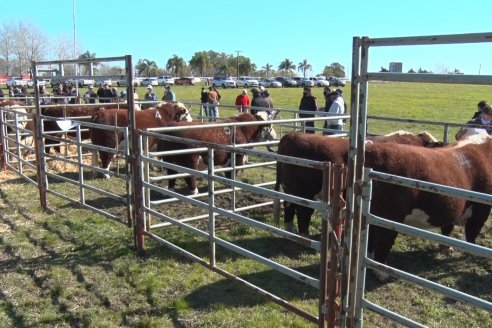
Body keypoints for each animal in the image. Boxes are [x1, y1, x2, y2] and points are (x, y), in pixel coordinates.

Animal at [364, 134, 492, 280]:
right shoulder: (481, 210)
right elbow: (471, 234)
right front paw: (473, 253)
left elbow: (448, 228)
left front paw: (446, 247)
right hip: (389, 218)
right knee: (383, 241)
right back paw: (383, 273)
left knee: (371, 238)